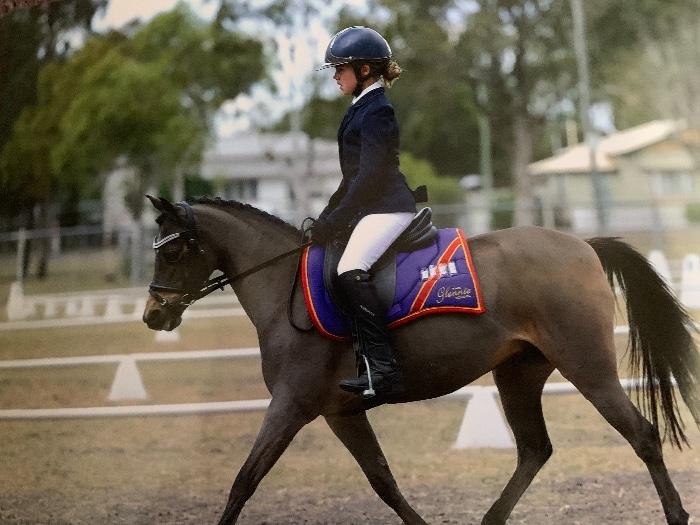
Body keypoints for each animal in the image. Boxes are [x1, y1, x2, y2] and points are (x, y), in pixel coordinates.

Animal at [142, 195, 699, 525]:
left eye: (170, 253)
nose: (153, 315)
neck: (285, 290)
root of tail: (582, 244)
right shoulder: (340, 412)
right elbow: (383, 481)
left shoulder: (291, 405)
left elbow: (243, 481)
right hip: (519, 372)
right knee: (534, 450)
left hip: (586, 365)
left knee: (642, 436)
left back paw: (675, 514)